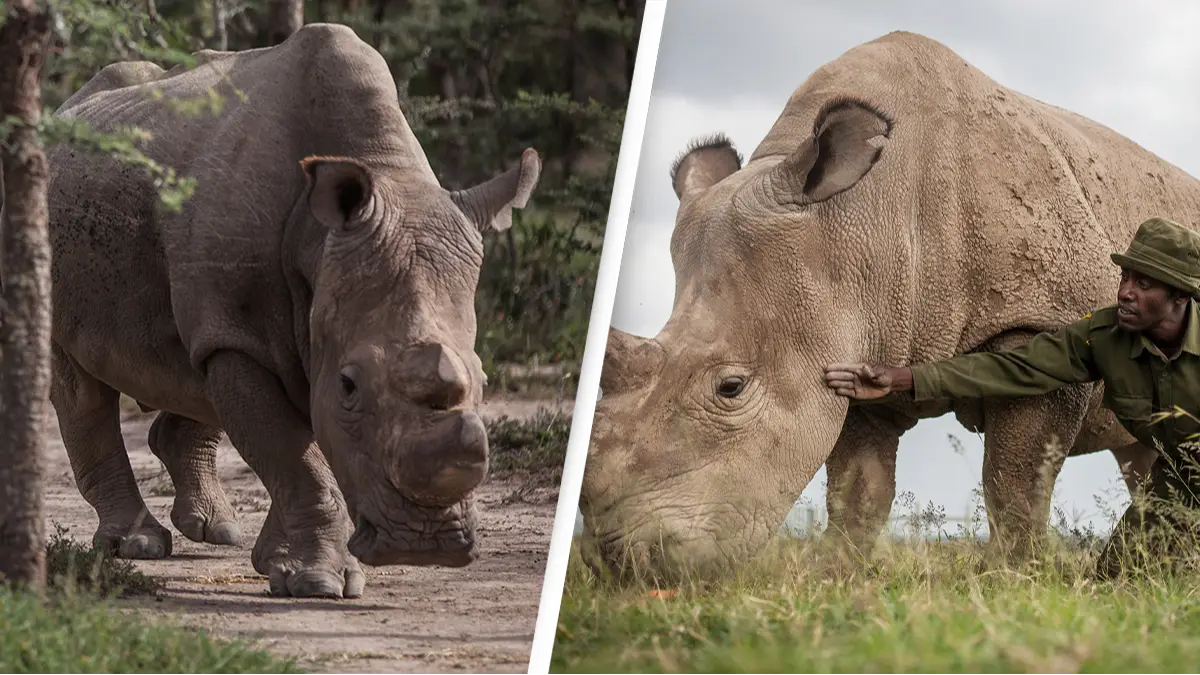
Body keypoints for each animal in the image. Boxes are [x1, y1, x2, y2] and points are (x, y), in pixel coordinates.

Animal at [39, 23, 540, 598]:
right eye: (348, 386)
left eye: (484, 382)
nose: (424, 546)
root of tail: (65, 110)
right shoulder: (243, 336)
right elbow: (294, 455)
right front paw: (318, 582)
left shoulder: (264, 318)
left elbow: (288, 447)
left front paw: (274, 563)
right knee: (84, 387)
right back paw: (139, 545)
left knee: (190, 364)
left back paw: (218, 531)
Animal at [580, 30, 1200, 580]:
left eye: (730, 388)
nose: (622, 563)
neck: (860, 218)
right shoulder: (856, 334)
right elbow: (859, 489)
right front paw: (836, 578)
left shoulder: (1041, 319)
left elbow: (1015, 478)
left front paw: (1011, 579)